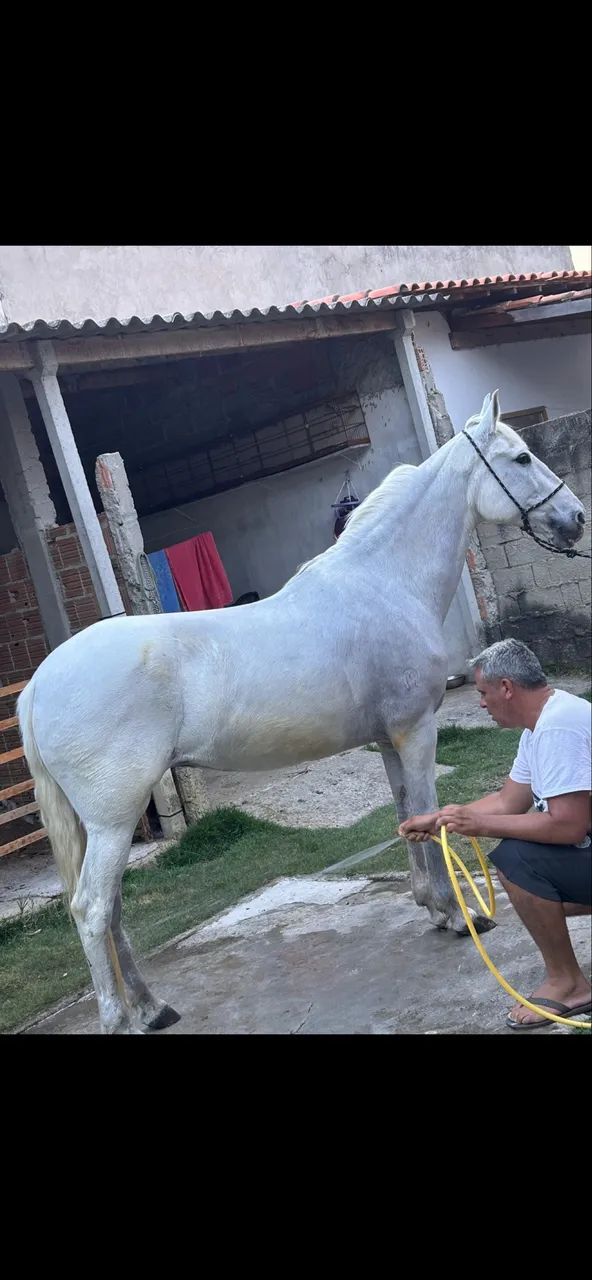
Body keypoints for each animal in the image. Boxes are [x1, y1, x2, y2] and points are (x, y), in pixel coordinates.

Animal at [18, 390, 586, 1033]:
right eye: (520, 458)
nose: (576, 518)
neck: (383, 583)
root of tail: (39, 684)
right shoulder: (415, 731)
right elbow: (426, 810)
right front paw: (459, 915)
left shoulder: (388, 740)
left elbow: (406, 817)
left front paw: (431, 907)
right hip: (114, 818)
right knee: (92, 909)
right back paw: (121, 1017)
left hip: (101, 823)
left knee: (110, 909)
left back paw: (152, 1007)